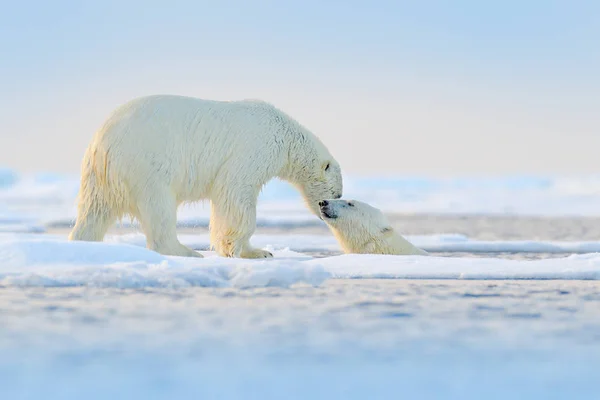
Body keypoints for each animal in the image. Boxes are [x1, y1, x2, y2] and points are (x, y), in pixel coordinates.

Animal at [68, 94, 342, 258]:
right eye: (336, 193)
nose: (324, 211)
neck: (284, 136)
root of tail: (101, 140)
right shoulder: (253, 150)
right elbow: (235, 193)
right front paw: (251, 251)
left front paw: (259, 251)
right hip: (145, 163)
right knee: (159, 207)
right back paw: (186, 251)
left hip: (101, 176)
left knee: (94, 211)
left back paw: (82, 243)